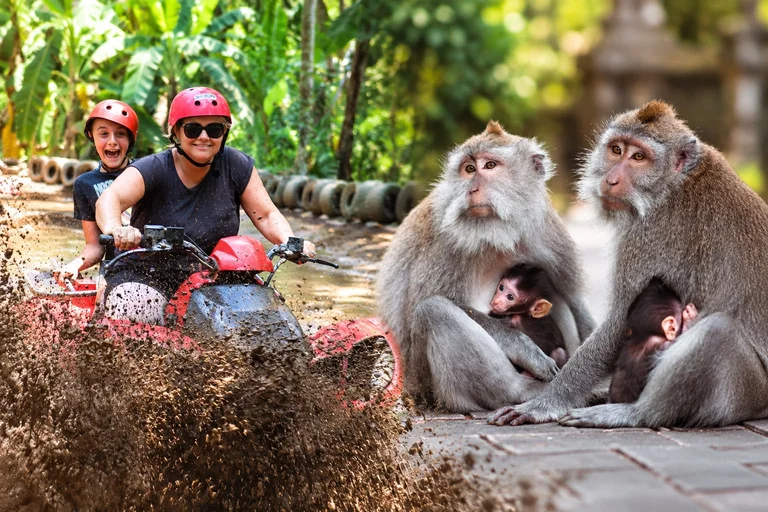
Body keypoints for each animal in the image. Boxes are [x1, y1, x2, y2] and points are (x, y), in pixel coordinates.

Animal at [376, 121, 595, 413]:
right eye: (469, 169)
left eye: (490, 165)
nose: (472, 189)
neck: (497, 232)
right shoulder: (445, 242)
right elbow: (416, 312)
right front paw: (525, 350)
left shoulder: (547, 231)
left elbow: (573, 298)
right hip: (430, 385)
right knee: (432, 311)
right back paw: (520, 391)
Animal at [489, 99, 768, 428]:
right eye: (616, 150)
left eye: (639, 157)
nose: (611, 179)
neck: (673, 185)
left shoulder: (650, 235)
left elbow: (624, 319)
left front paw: (544, 403)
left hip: (748, 390)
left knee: (717, 332)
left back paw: (632, 413)